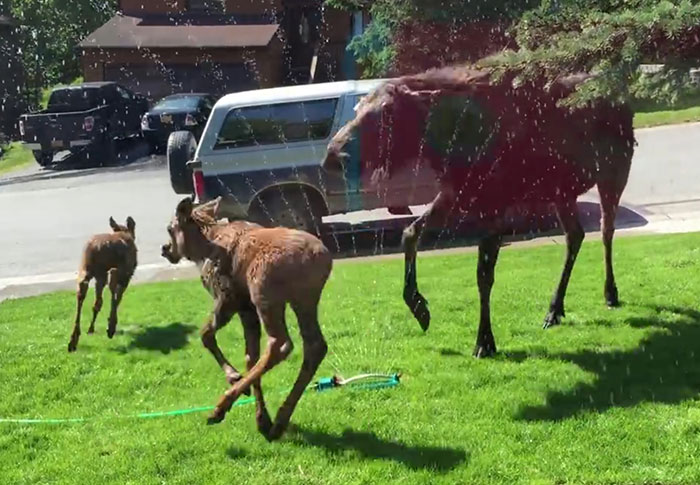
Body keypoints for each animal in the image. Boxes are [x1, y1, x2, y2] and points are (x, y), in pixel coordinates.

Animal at [68, 216, 137, 352]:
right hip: (116, 270)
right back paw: (110, 328)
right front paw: (111, 324)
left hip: (87, 269)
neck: (123, 231)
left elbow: (98, 303)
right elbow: (117, 297)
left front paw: (91, 329)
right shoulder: (127, 275)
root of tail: (98, 247)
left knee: (83, 296)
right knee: (112, 292)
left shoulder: (100, 277)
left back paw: (74, 339)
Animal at [161, 197, 332, 441]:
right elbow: (251, 356)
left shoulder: (228, 298)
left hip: (264, 292)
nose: (165, 249)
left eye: (170, 228)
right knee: (315, 345)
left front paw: (234, 377)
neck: (204, 247)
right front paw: (261, 418)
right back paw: (279, 420)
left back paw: (221, 407)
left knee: (281, 344)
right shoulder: (247, 308)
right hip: (304, 300)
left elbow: (206, 335)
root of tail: (320, 259)